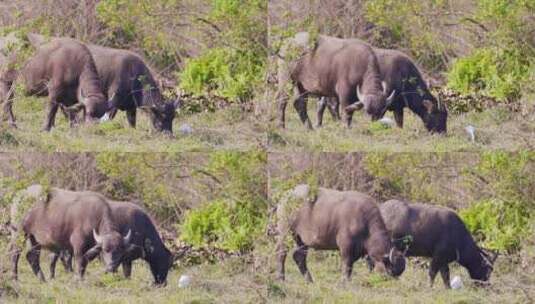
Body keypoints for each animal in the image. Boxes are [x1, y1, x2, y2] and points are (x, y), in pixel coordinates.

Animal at [9, 184, 138, 282]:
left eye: (120, 250)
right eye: (106, 250)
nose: (112, 266)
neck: (96, 218)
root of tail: (19, 195)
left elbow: (85, 262)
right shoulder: (78, 245)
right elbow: (80, 262)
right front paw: (79, 279)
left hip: (34, 238)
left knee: (32, 257)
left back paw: (42, 279)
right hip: (20, 232)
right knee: (15, 253)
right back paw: (15, 278)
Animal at [276, 184, 406, 282]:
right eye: (390, 271)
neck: (365, 223)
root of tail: (285, 197)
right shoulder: (346, 247)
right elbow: (347, 265)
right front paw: (345, 281)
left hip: (301, 240)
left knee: (299, 257)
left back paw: (309, 280)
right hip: (285, 232)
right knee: (281, 253)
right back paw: (281, 278)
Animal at [370, 200, 500, 288]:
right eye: (487, 271)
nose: (486, 285)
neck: (458, 237)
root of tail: (381, 208)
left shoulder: (443, 260)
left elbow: (445, 275)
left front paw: (448, 288)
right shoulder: (437, 257)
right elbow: (432, 273)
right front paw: (430, 287)